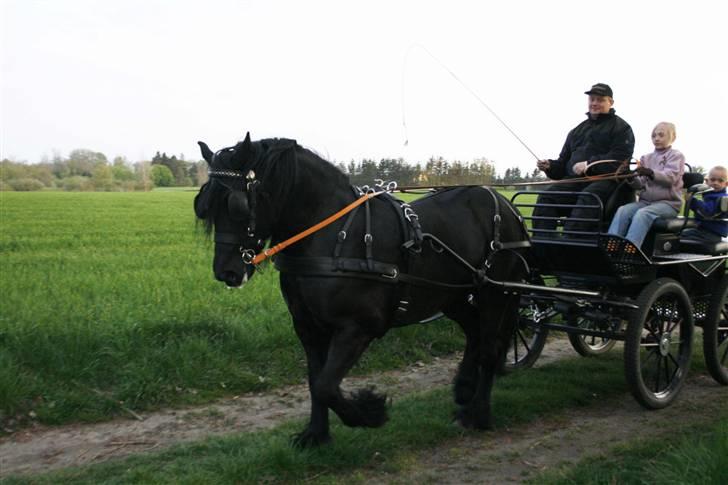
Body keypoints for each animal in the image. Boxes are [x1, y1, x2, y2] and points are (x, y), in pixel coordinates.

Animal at [193, 133, 531, 447]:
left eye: (236, 205)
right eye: (204, 205)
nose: (227, 271)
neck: (336, 237)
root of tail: (506, 206)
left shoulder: (358, 327)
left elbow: (327, 385)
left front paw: (370, 411)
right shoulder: (307, 326)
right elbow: (315, 380)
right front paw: (316, 434)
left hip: (496, 293)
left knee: (489, 347)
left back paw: (478, 413)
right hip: (453, 295)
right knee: (474, 333)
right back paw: (463, 390)